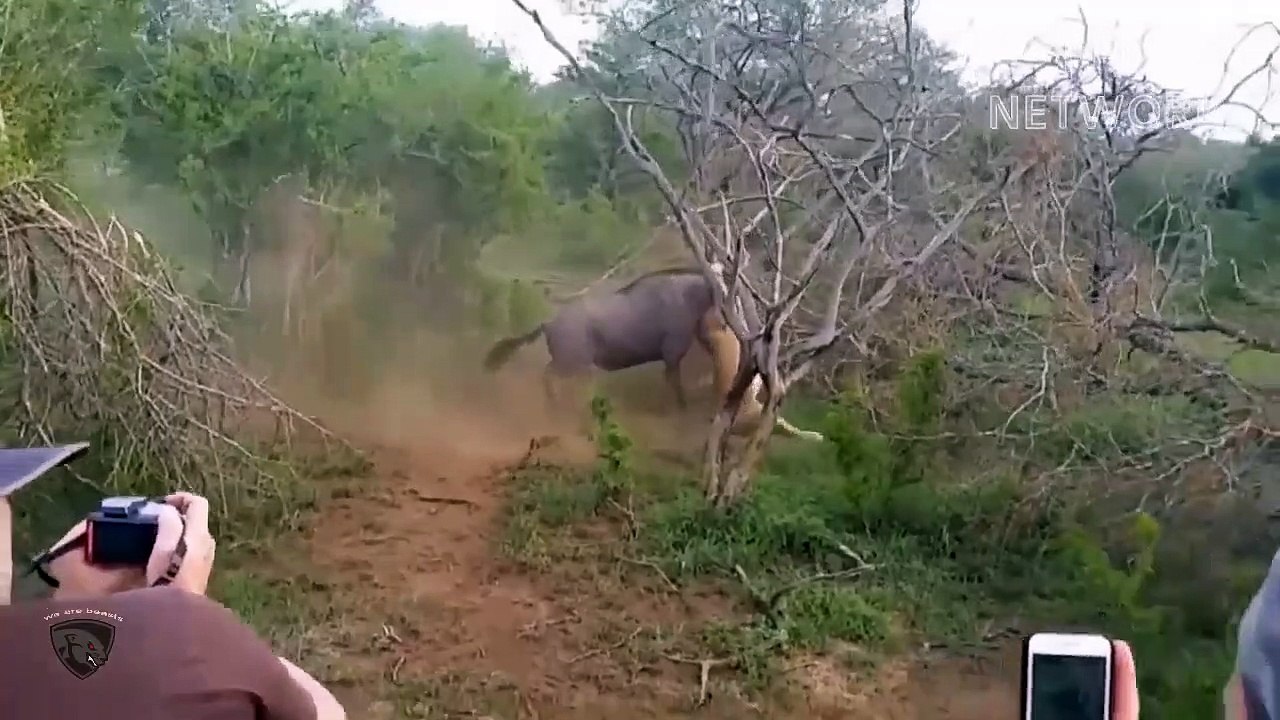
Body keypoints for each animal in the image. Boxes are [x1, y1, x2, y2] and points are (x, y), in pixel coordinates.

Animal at [482, 268, 823, 441]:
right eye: (731, 294)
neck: (689, 294)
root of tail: (547, 323)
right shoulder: (673, 355)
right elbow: (675, 385)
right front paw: (678, 411)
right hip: (572, 363)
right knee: (549, 378)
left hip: (572, 364)